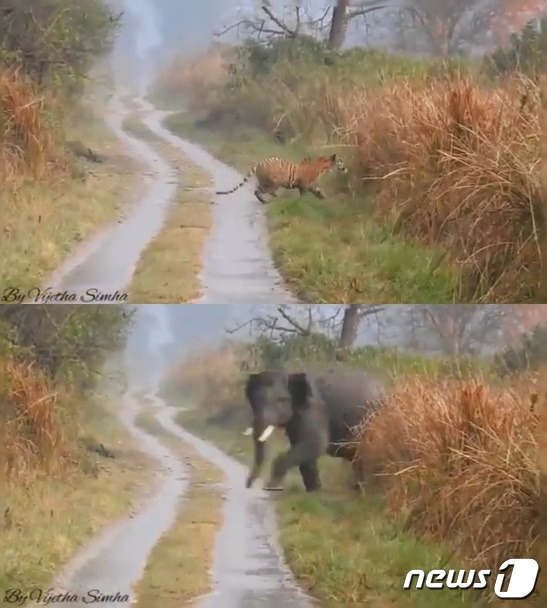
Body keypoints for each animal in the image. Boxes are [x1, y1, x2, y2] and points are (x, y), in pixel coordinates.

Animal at [214, 153, 346, 205]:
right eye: (340, 161)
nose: (345, 168)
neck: (324, 166)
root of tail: (259, 163)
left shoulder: (313, 186)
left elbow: (320, 192)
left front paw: (326, 200)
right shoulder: (304, 185)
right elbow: (303, 196)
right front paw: (301, 202)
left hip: (263, 182)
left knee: (257, 191)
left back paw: (265, 201)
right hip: (273, 182)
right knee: (269, 191)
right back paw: (277, 198)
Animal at [244, 368, 386, 492]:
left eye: (281, 401)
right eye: (254, 400)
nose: (248, 485)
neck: (291, 373)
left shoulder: (314, 410)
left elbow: (315, 444)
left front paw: (271, 487)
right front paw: (314, 492)